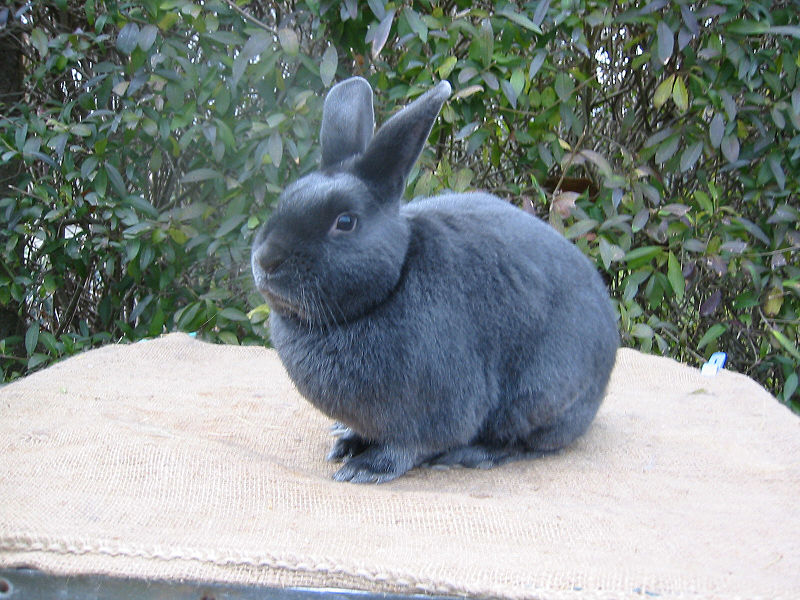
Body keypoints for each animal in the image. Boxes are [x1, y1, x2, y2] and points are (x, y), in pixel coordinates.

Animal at [251, 77, 619, 483]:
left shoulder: (437, 408)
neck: (390, 285)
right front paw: (346, 443)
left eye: (345, 222)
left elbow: (409, 446)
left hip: (539, 397)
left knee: (525, 442)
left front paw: (365, 467)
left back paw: (470, 455)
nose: (266, 259)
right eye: (285, 199)